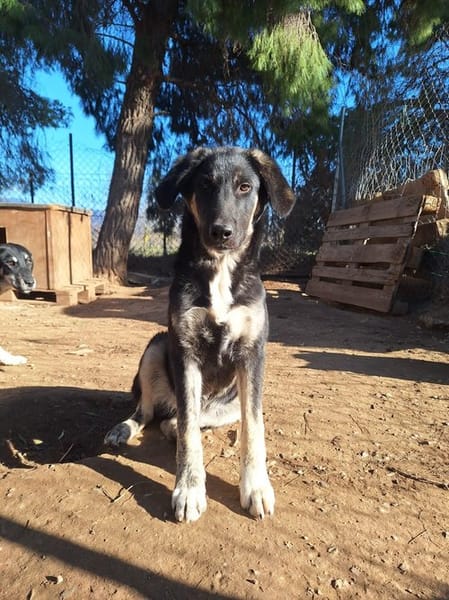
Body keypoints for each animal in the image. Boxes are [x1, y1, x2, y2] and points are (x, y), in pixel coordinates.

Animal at [105, 146, 295, 522]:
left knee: (182, 420)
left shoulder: (252, 354)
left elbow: (254, 428)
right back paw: (126, 427)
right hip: (156, 346)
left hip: (230, 403)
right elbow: (189, 430)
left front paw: (256, 487)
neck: (220, 271)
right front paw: (189, 490)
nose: (221, 232)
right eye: (205, 185)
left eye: (245, 187)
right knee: (149, 411)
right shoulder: (184, 349)